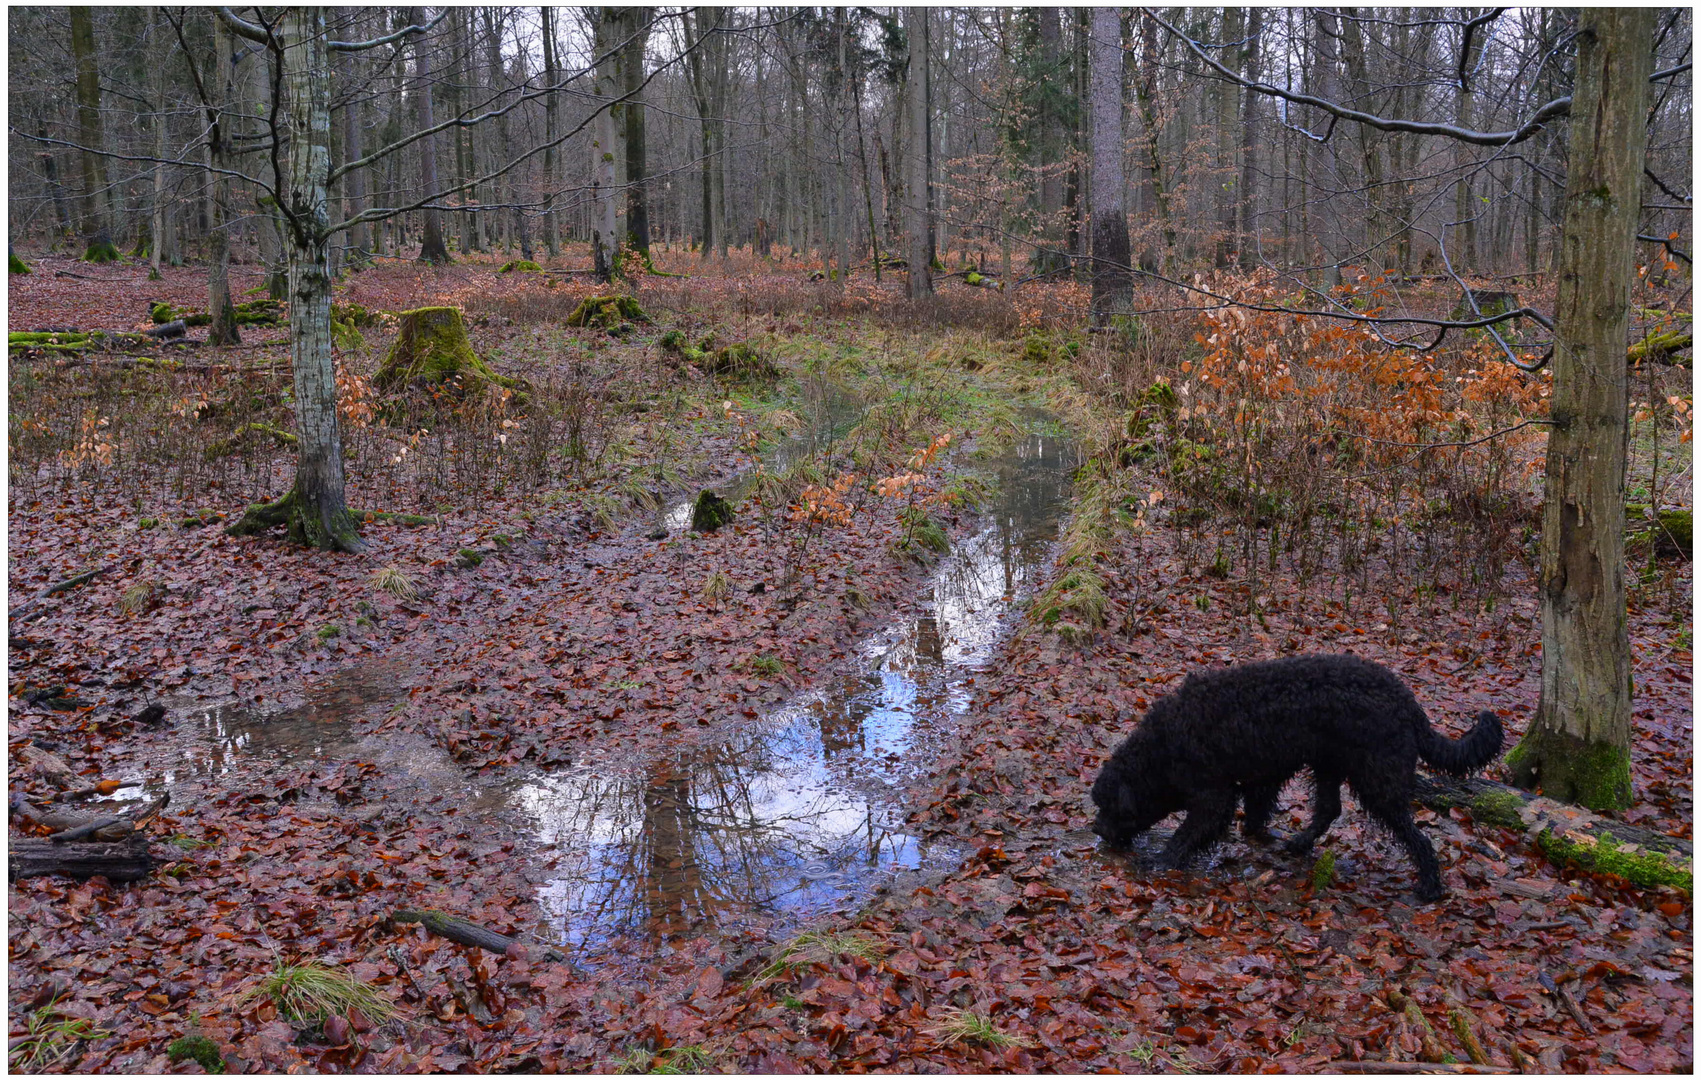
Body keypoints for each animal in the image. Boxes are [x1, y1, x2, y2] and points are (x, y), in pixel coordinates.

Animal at [1088, 656, 1503, 898]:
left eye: (1110, 807)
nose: (1097, 830)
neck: (1163, 746)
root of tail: (1410, 705)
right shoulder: (1262, 774)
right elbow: (1257, 809)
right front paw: (1256, 832)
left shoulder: (1213, 795)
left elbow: (1189, 832)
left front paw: (1162, 860)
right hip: (1329, 765)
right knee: (1330, 809)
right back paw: (1301, 843)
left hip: (1377, 779)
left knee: (1417, 837)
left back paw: (1430, 886)